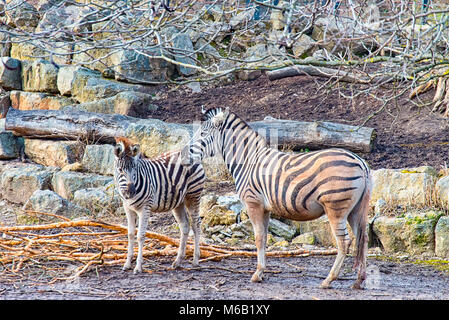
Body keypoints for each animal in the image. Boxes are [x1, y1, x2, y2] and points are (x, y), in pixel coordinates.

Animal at [113, 136, 204, 274]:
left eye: (134, 170)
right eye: (120, 170)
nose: (131, 191)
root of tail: (192, 154)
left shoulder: (145, 208)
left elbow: (140, 236)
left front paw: (138, 267)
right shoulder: (128, 208)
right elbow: (130, 234)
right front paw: (127, 264)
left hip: (193, 196)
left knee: (196, 224)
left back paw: (195, 260)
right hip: (178, 202)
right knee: (185, 226)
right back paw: (178, 261)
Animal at [185, 107, 372, 290]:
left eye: (202, 133)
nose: (185, 154)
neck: (248, 161)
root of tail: (361, 162)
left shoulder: (253, 203)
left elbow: (258, 238)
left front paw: (257, 274)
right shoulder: (265, 209)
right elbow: (264, 238)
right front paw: (262, 272)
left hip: (336, 208)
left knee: (344, 242)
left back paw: (328, 280)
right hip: (356, 210)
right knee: (363, 239)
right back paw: (359, 280)